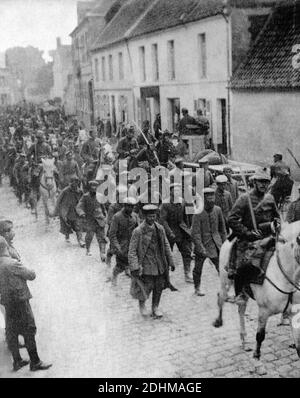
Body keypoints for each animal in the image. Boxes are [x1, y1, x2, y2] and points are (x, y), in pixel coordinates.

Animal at [213, 222, 300, 362]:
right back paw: (218, 321)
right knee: (221, 297)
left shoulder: (294, 312)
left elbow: (298, 345)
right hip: (225, 280)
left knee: (241, 308)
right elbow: (260, 335)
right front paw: (256, 354)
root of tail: (229, 239)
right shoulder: (264, 311)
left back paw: (244, 340)